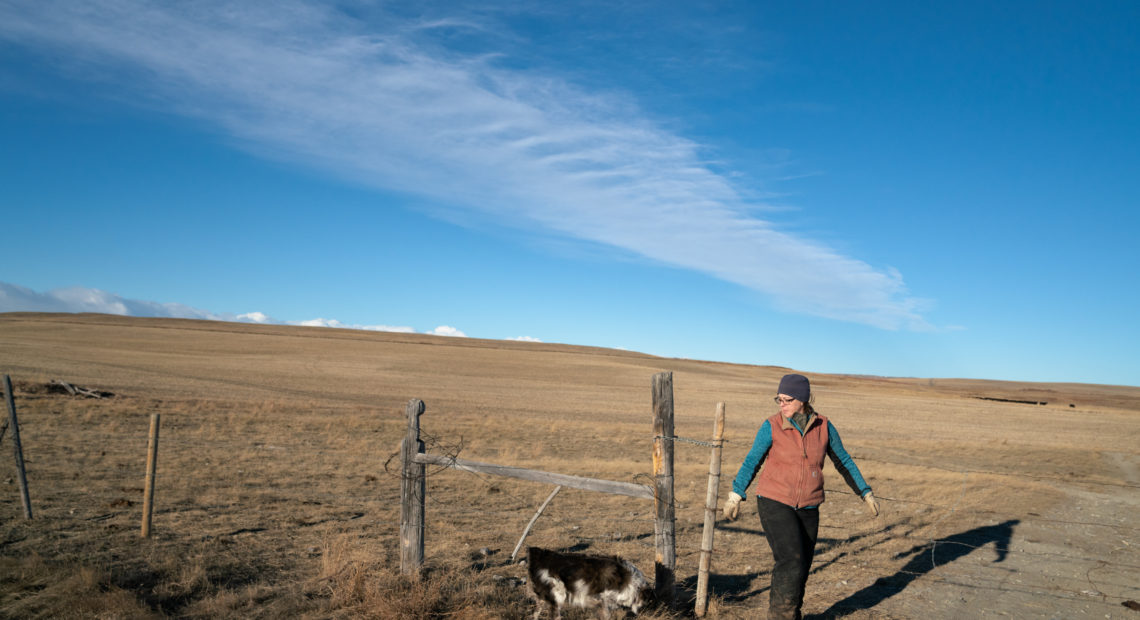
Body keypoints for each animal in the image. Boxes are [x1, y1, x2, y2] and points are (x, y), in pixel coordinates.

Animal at [524, 547, 652, 620]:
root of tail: (540, 556)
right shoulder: (600, 600)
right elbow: (606, 615)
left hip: (545, 598)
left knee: (535, 614)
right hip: (558, 595)